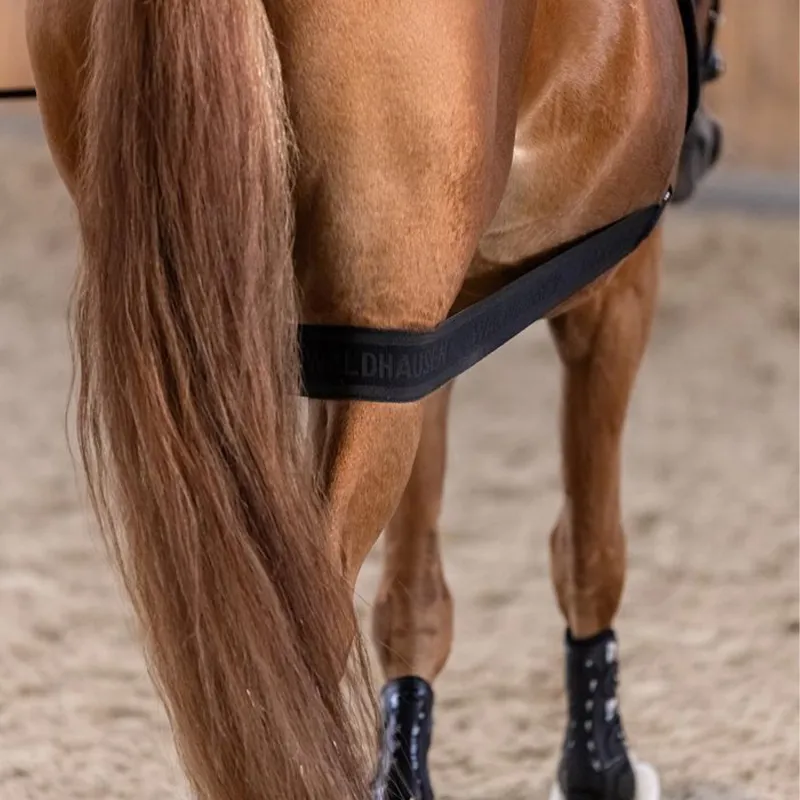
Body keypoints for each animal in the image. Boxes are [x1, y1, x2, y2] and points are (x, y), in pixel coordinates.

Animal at [21, 0, 722, 798]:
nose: (704, 146)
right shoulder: (616, 291)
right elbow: (591, 547)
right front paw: (600, 767)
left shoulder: (419, 347)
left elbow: (412, 592)